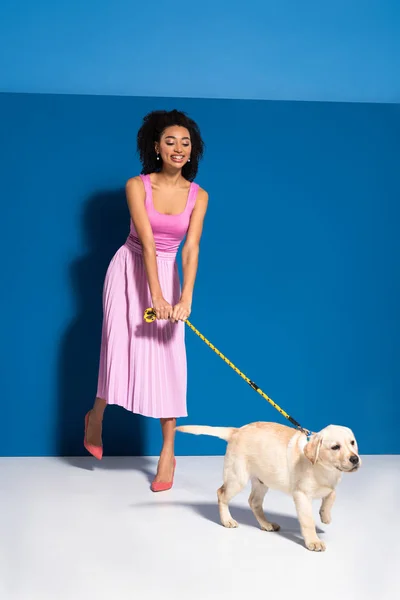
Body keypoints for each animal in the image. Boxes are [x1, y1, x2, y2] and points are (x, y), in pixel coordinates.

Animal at [177, 420, 360, 552]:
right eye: (335, 447)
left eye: (352, 443)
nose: (355, 459)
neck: (324, 468)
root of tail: (237, 430)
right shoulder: (301, 495)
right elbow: (308, 520)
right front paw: (313, 541)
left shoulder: (332, 484)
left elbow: (331, 494)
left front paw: (325, 515)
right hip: (237, 478)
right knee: (221, 493)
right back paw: (227, 520)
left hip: (262, 481)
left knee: (253, 502)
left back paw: (266, 524)